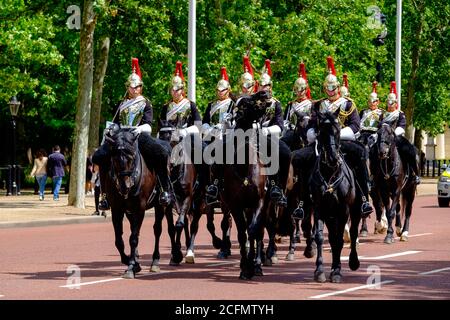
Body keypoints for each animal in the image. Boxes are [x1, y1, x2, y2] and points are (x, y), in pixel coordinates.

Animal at [101, 125, 183, 278]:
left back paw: (159, 260)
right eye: (114, 158)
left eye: (132, 156)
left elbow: (133, 238)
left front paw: (131, 266)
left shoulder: (139, 208)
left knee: (161, 229)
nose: (124, 186)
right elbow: (119, 240)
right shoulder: (117, 209)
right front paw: (131, 261)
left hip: (161, 205)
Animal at [310, 112, 362, 282]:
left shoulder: (343, 210)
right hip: (330, 215)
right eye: (321, 132)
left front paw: (337, 271)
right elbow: (320, 237)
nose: (333, 159)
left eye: (338, 131)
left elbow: (339, 239)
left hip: (355, 211)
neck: (330, 173)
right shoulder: (319, 208)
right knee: (332, 238)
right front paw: (319, 270)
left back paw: (353, 262)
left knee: (352, 232)